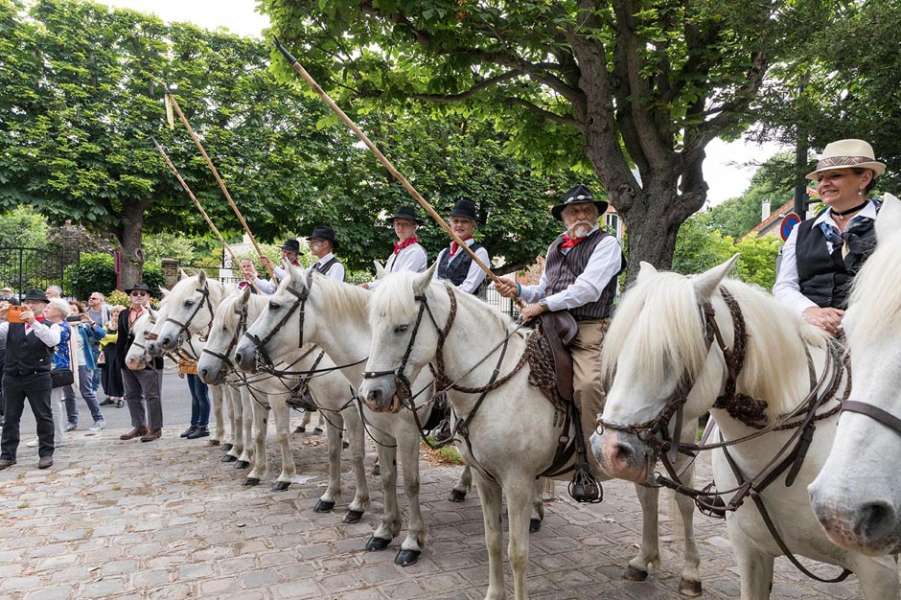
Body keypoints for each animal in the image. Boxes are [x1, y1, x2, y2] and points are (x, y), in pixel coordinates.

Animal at [199, 290, 370, 520]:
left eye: (225, 328)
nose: (203, 370)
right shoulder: (259, 397)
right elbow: (258, 433)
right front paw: (256, 472)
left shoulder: (282, 398)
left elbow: (281, 435)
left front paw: (285, 476)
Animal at [232, 268, 472, 568]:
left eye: (274, 305)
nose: (240, 354)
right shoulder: (371, 428)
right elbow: (384, 475)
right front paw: (384, 530)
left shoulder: (402, 432)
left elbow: (408, 482)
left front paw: (410, 541)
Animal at [356, 266, 704, 600]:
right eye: (371, 324)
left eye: (401, 327)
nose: (371, 394)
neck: (495, 382)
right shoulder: (484, 478)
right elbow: (493, 541)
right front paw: (494, 594)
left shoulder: (518, 483)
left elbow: (518, 552)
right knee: (648, 497)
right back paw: (643, 562)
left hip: (679, 454)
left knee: (685, 505)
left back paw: (690, 574)